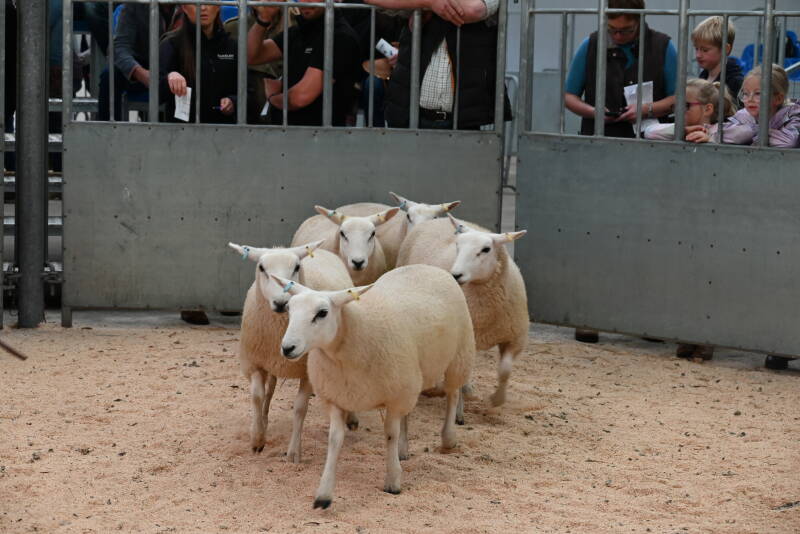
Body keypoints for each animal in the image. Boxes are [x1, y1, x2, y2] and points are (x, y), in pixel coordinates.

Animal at [227, 240, 356, 462]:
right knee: (269, 391)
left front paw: (294, 452)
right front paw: (257, 438)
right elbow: (257, 396)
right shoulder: (255, 362)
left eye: (296, 267)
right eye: (262, 268)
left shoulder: (307, 372)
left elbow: (299, 409)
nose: (281, 302)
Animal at [273, 263, 474, 509]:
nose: (287, 348)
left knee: (452, 394)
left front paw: (393, 480)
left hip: (459, 356)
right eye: (289, 309)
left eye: (322, 313)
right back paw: (403, 450)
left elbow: (389, 434)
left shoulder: (394, 397)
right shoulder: (336, 397)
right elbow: (335, 439)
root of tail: (426, 266)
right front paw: (324, 494)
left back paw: (448, 438)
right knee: (409, 413)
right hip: (410, 379)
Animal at [396, 215, 528, 407]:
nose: (455, 275)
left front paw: (497, 399)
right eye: (457, 246)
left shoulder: (515, 337)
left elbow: (505, 370)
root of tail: (438, 219)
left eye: (486, 249)